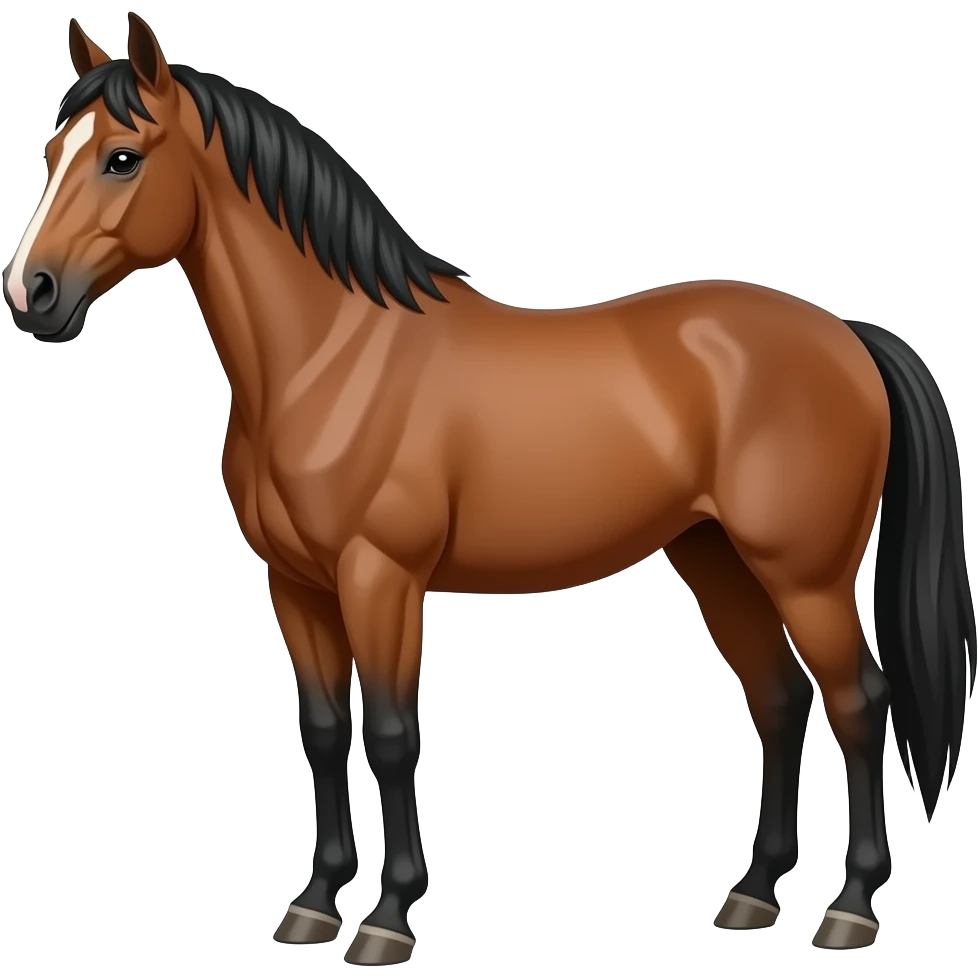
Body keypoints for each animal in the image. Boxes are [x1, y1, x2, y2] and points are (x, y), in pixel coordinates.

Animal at [2, 14, 973, 960]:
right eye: (51, 152)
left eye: (122, 157)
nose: (31, 293)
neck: (331, 357)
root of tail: (845, 335)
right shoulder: (296, 586)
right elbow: (322, 732)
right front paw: (313, 906)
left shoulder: (381, 578)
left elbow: (392, 737)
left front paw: (388, 920)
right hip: (716, 559)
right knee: (779, 701)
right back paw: (752, 894)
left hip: (804, 575)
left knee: (858, 703)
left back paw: (849, 909)